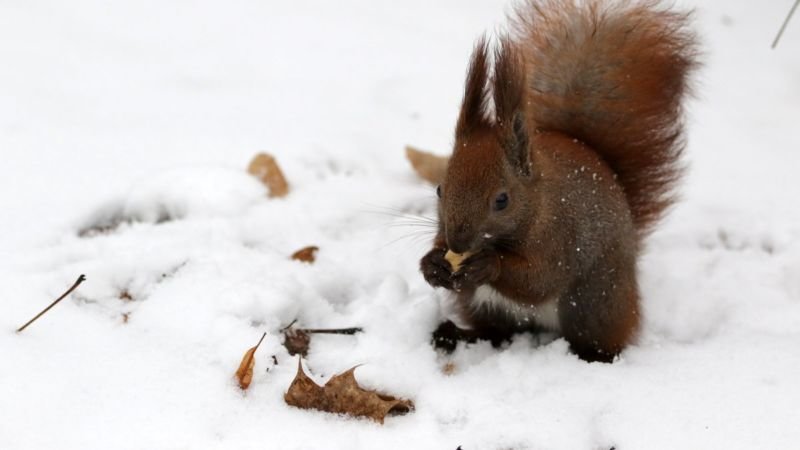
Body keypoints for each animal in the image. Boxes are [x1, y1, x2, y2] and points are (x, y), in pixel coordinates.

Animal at [422, 0, 696, 362]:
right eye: (440, 189)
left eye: (502, 200)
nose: (458, 243)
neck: (537, 204)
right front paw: (432, 264)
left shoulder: (561, 237)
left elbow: (539, 279)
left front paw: (488, 264)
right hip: (482, 304)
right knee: (497, 331)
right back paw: (454, 335)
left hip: (592, 301)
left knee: (595, 337)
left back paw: (594, 358)